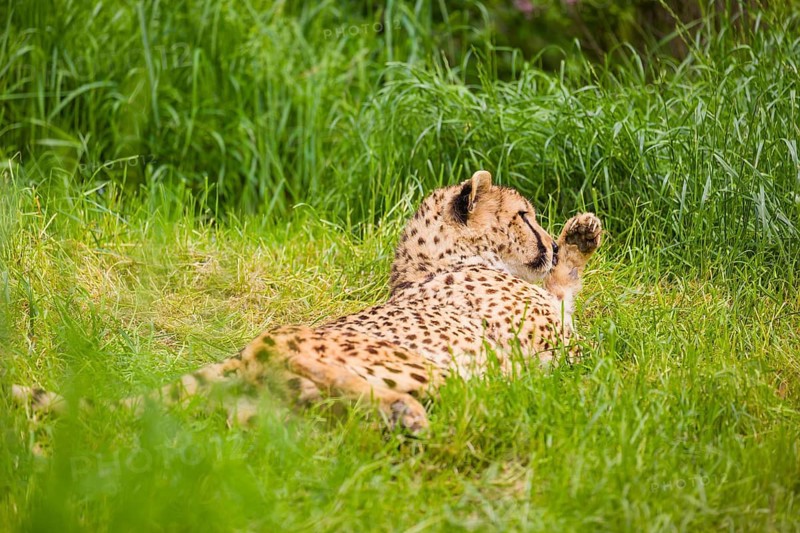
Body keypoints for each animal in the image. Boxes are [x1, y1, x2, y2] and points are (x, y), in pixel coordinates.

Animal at [13, 170, 602, 433]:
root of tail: (245, 352)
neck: (436, 263)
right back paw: (409, 409)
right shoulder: (551, 342)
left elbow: (564, 296)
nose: (548, 244)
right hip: (411, 363)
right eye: (523, 216)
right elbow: (579, 339)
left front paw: (581, 235)